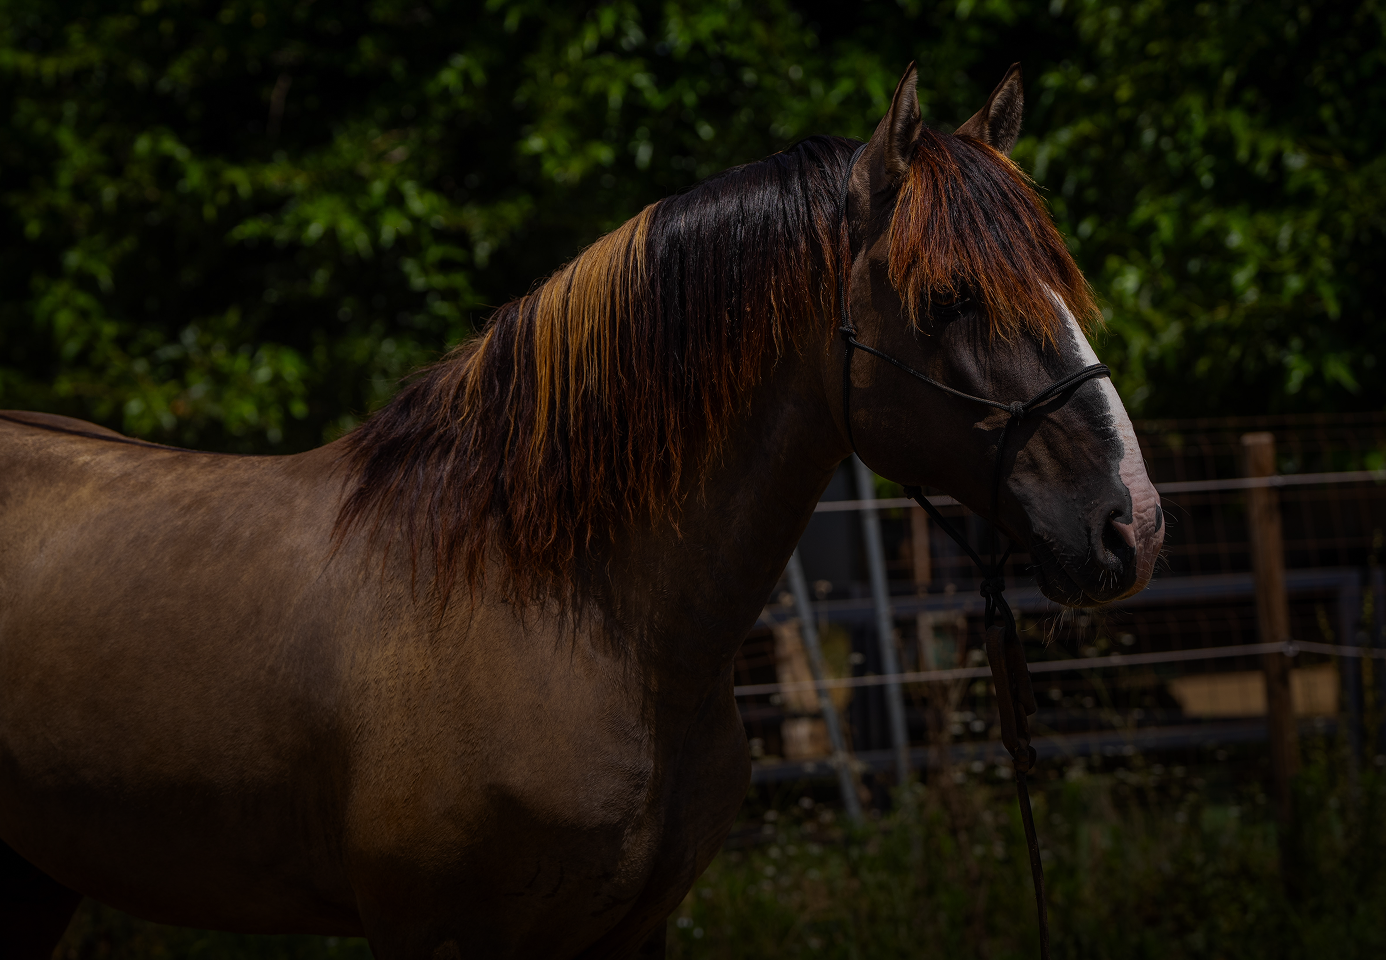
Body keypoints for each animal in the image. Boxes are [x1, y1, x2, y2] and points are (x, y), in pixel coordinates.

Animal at [0, 63, 1163, 958]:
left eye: (1062, 283)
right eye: (947, 300)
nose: (1133, 524)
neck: (561, 607)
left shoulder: (631, 933)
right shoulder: (438, 938)